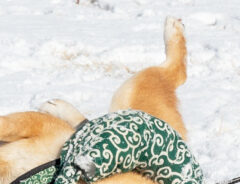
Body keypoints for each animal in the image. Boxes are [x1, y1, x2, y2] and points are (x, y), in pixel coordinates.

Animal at [0, 16, 189, 183]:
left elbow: (7, 123)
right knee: (85, 123)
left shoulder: (44, 129)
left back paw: (173, 29)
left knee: (176, 72)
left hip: (129, 92)